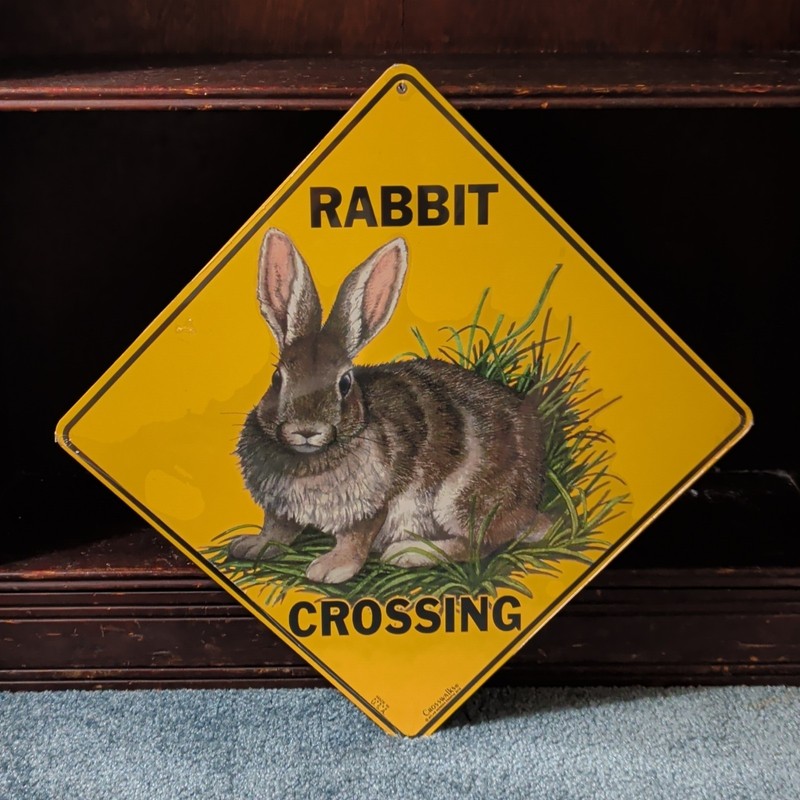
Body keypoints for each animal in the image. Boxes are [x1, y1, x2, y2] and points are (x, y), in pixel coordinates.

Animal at [230, 227, 552, 584]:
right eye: (277, 377)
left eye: (345, 383)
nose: (306, 430)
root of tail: (529, 502)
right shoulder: (281, 509)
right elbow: (278, 528)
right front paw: (253, 545)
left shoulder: (373, 504)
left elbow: (356, 538)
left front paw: (331, 568)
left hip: (464, 501)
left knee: (480, 544)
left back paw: (411, 552)